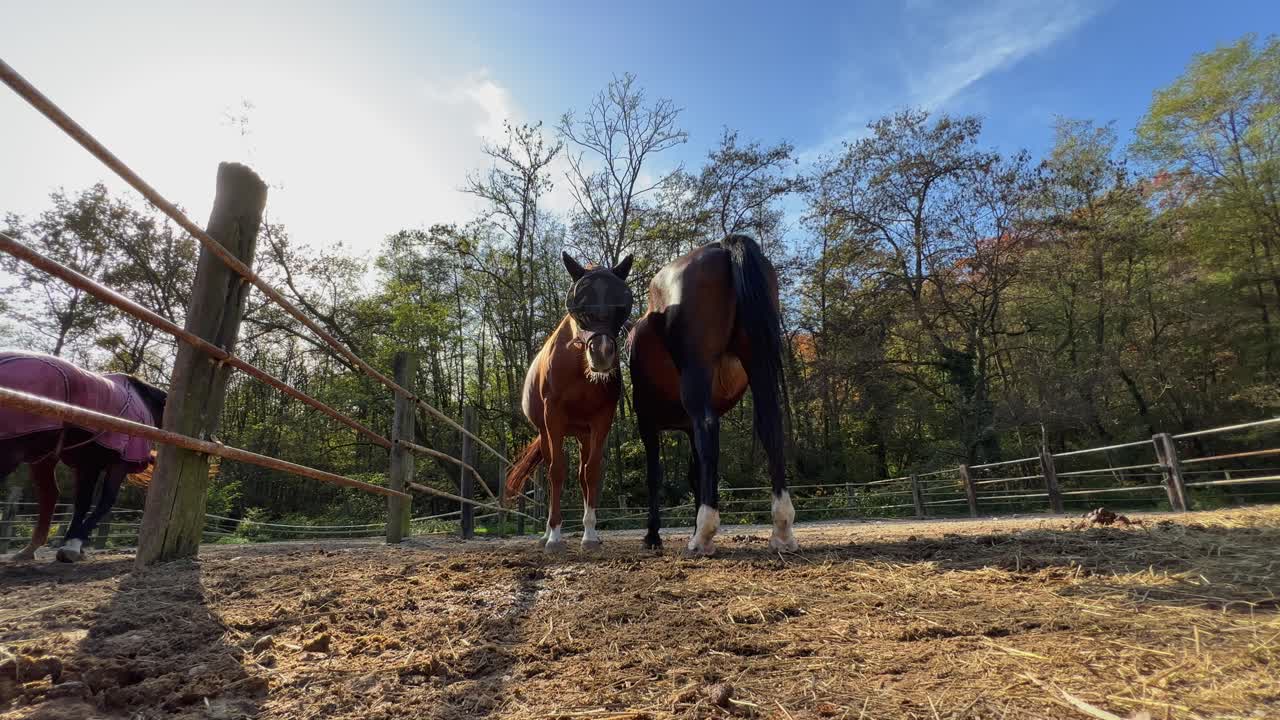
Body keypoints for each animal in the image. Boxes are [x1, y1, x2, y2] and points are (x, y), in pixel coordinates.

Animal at [0, 351, 167, 562]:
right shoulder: (115, 463)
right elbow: (102, 501)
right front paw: (73, 545)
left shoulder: (89, 464)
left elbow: (83, 502)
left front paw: (72, 545)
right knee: (50, 495)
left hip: (41, 457)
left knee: (49, 494)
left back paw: (29, 549)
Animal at [505, 251, 634, 552]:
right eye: (580, 303)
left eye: (621, 303)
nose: (602, 353)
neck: (578, 367)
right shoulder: (554, 419)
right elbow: (556, 472)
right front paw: (554, 536)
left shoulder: (601, 422)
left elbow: (592, 474)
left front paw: (590, 535)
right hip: (547, 432)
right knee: (554, 470)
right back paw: (545, 535)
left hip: (583, 435)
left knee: (583, 474)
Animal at [628, 234, 796, 556]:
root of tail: (723, 246)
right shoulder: (685, 428)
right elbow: (695, 473)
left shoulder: (648, 425)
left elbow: (655, 475)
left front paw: (653, 535)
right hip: (757, 361)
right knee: (771, 425)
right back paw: (781, 529)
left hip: (698, 377)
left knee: (709, 428)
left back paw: (704, 535)